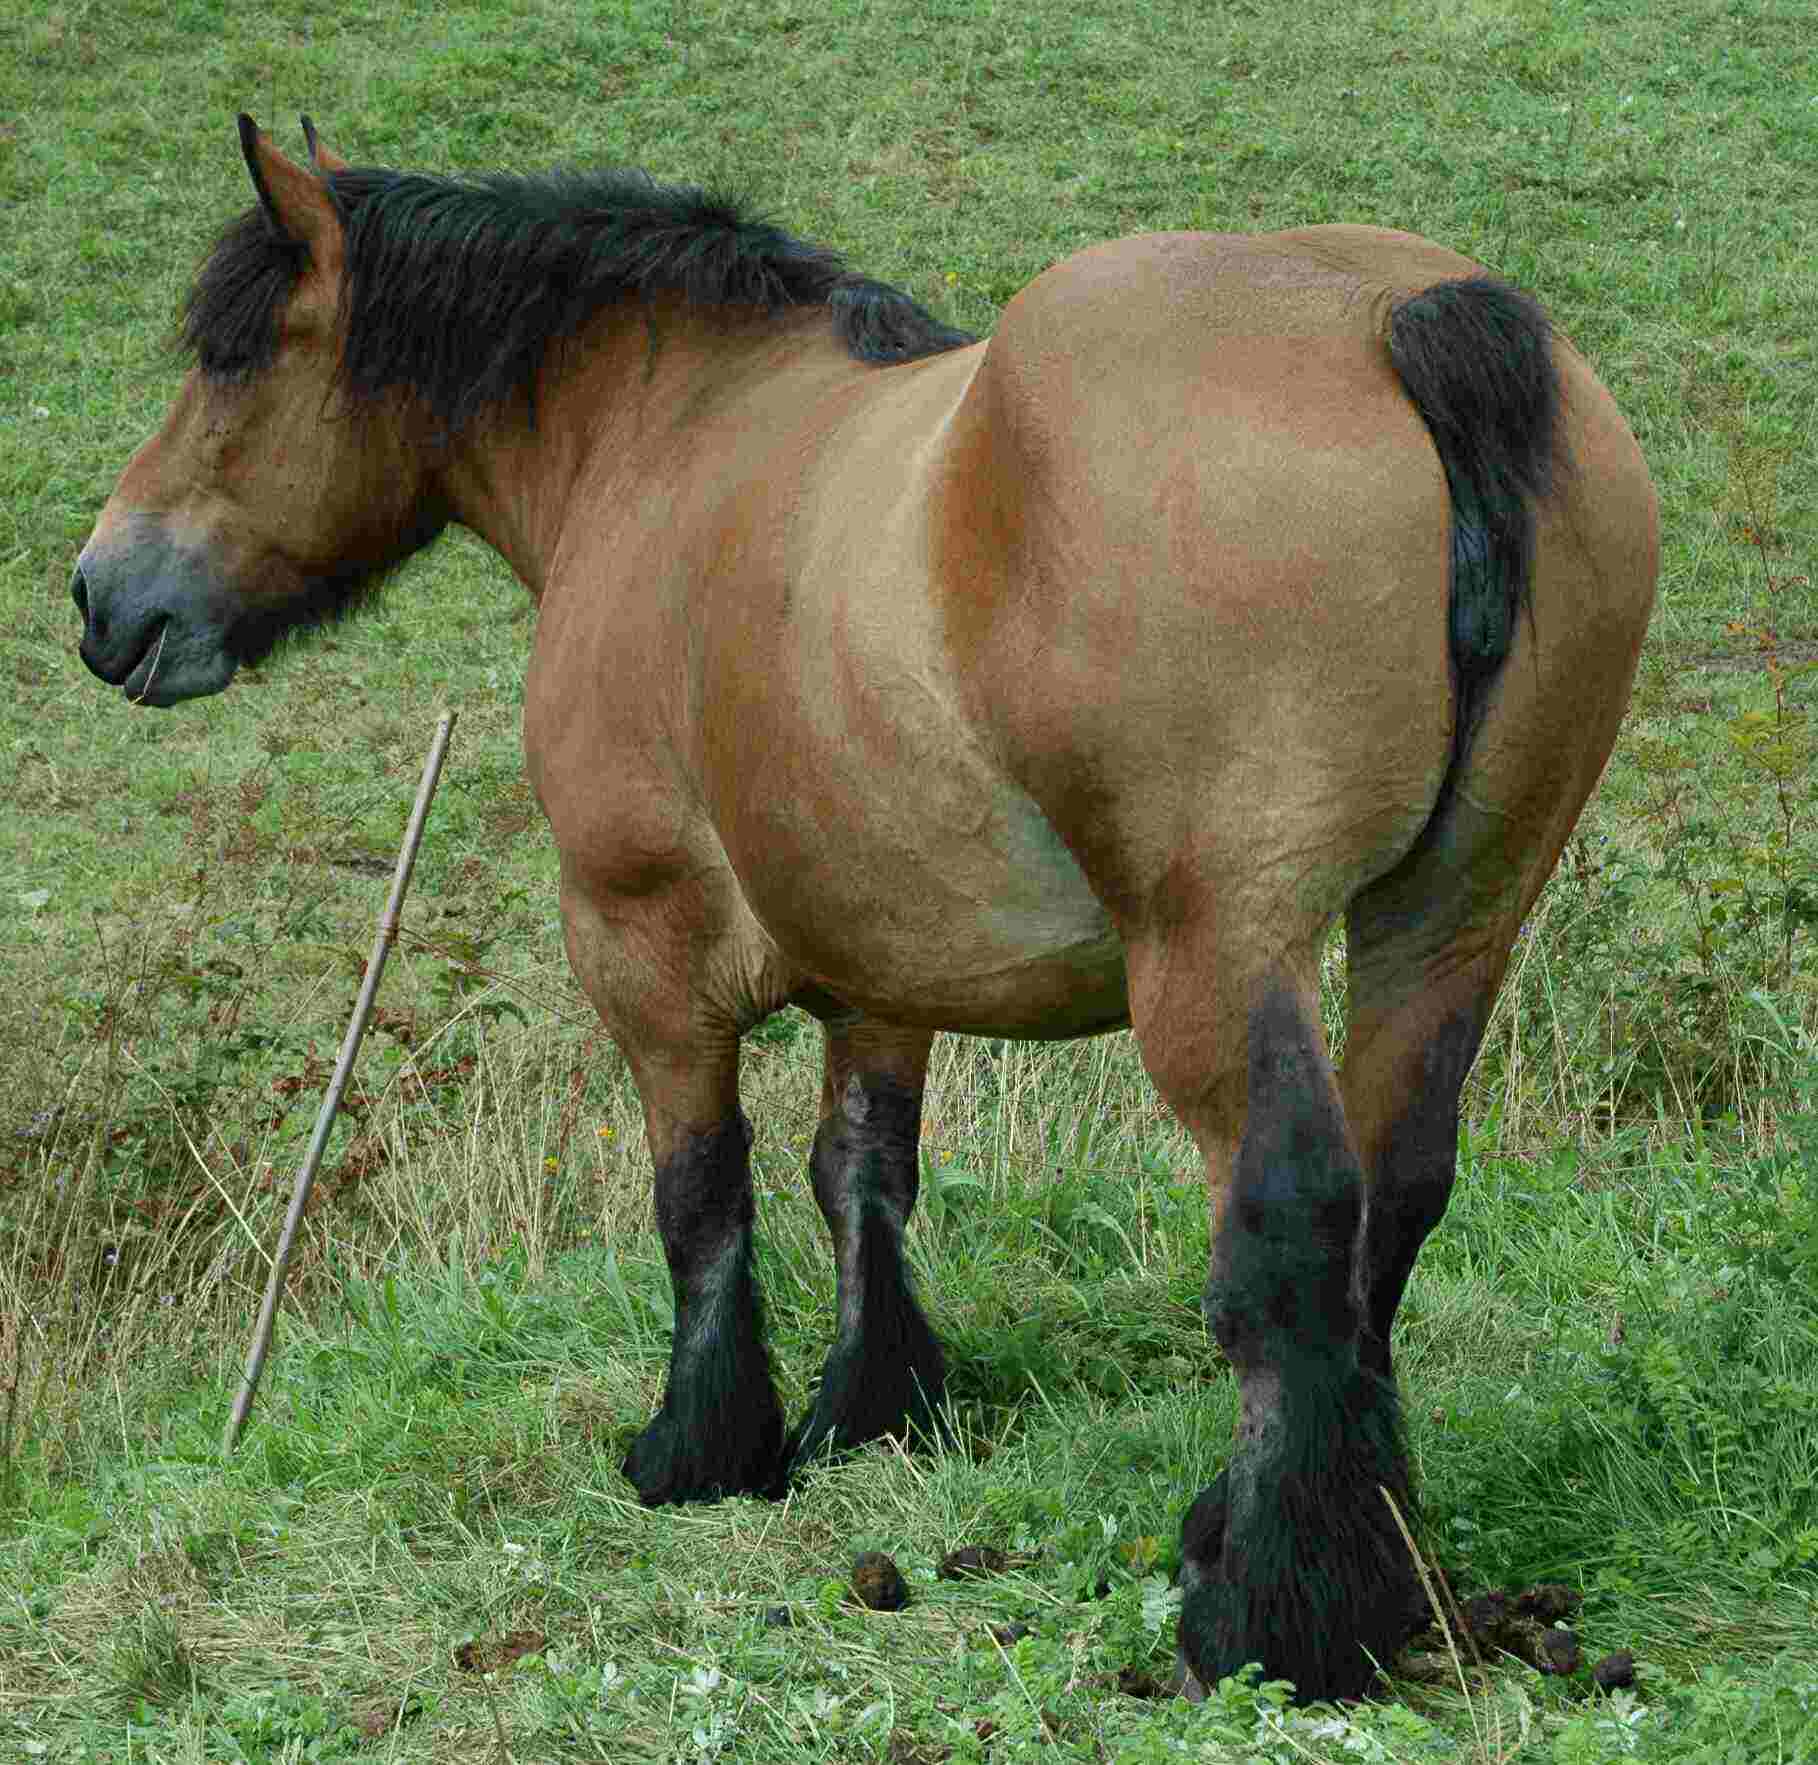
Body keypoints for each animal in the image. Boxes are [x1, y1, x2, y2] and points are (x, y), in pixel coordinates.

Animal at [73, 117, 1658, 1701]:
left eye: (233, 356)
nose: (99, 598)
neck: (672, 434)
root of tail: (1396, 318)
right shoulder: (882, 963)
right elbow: (860, 1174)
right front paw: (868, 1408)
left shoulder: (638, 946)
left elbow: (700, 1192)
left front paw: (699, 1446)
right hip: (1450, 925)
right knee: (1396, 1194)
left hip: (1221, 949)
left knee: (1295, 1217)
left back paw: (1261, 1606)